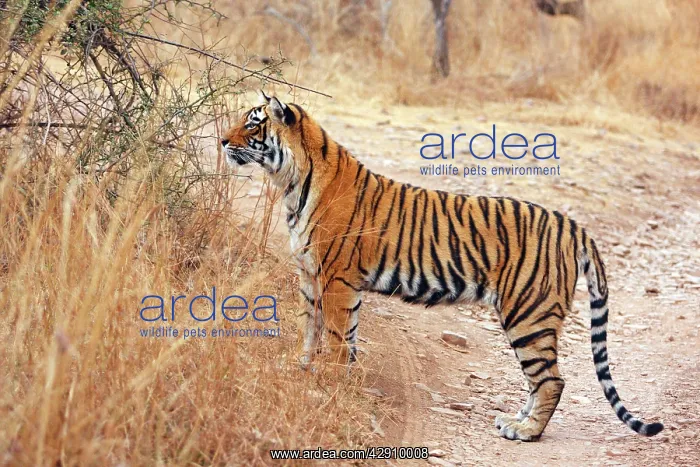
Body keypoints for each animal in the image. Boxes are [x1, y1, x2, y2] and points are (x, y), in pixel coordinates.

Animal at [221, 92, 664, 441]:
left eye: (252, 124)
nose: (223, 140)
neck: (290, 183)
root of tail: (572, 224)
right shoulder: (311, 275)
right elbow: (312, 329)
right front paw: (302, 368)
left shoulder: (336, 280)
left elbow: (334, 337)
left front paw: (327, 383)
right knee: (539, 379)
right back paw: (515, 420)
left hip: (528, 312)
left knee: (552, 379)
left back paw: (526, 431)